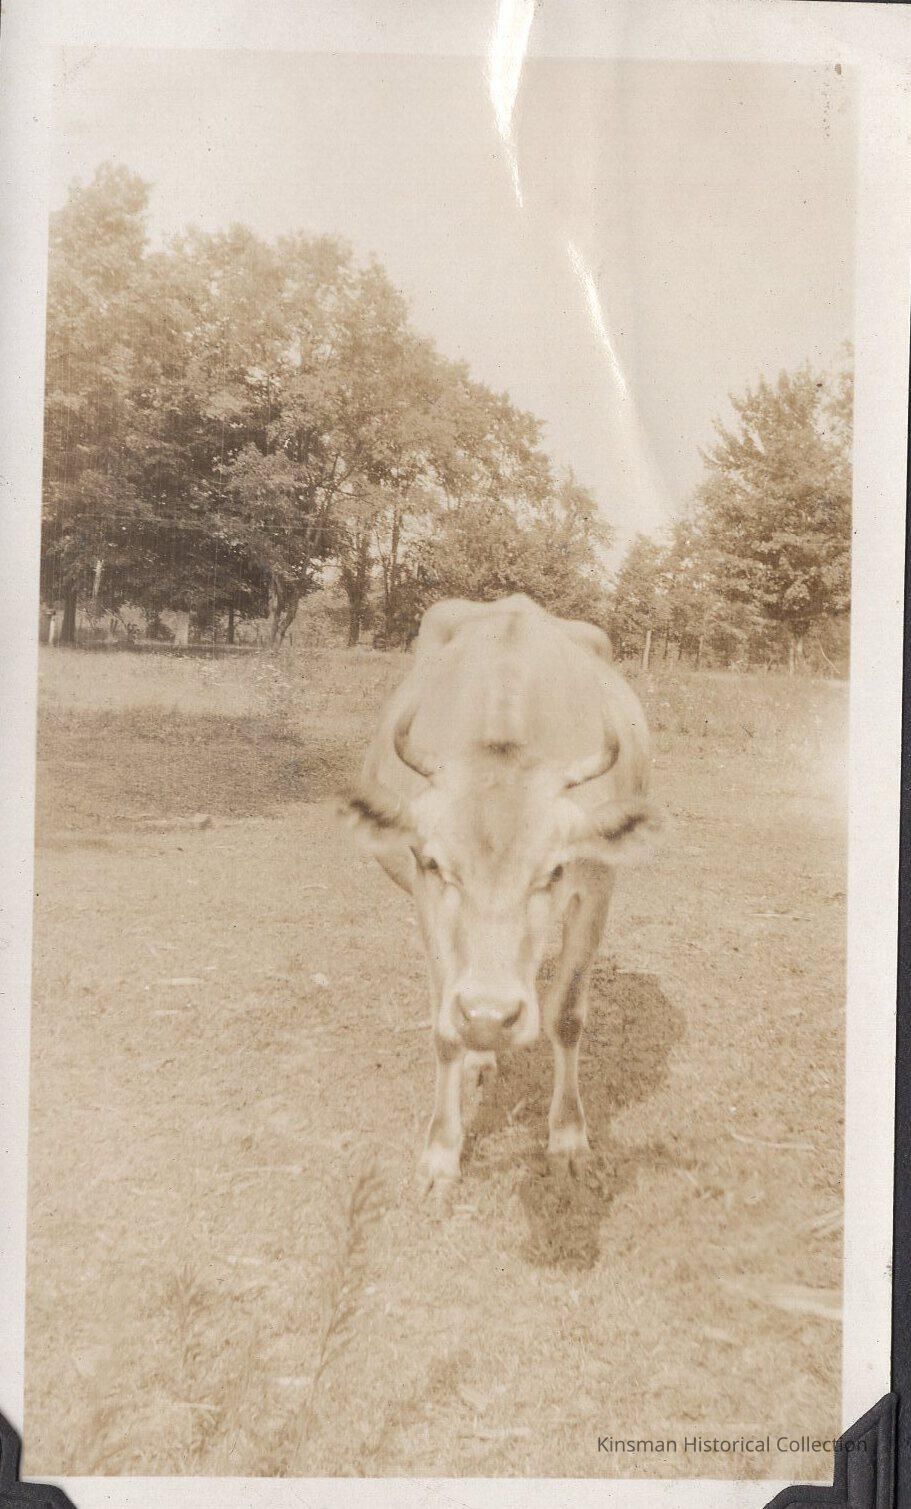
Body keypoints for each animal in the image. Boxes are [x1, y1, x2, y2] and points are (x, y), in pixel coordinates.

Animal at [343, 594, 661, 1191]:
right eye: (436, 862)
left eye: (554, 870)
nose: (490, 1016)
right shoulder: (425, 898)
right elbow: (444, 1028)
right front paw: (441, 1152)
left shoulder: (597, 886)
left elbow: (568, 1016)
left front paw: (568, 1138)